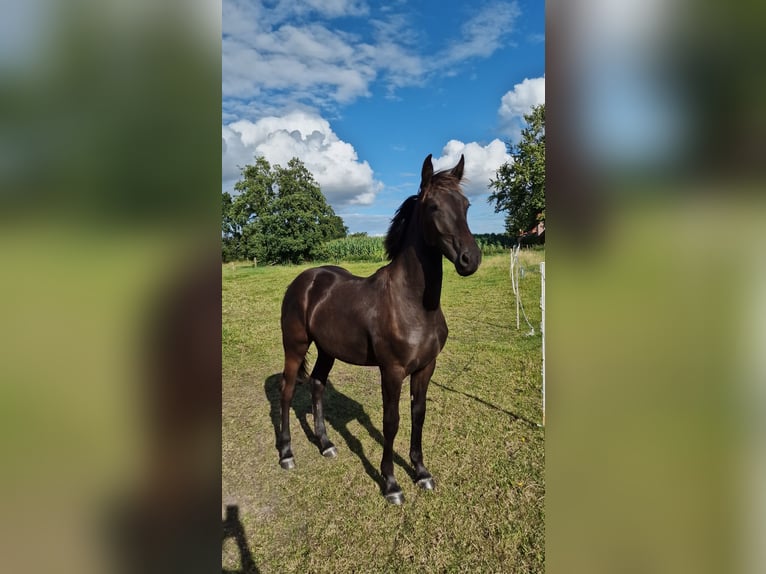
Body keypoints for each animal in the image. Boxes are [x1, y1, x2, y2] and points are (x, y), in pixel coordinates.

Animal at [278, 153, 480, 504]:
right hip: (295, 347)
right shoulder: (393, 371)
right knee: (287, 392)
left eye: (466, 204)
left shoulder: (426, 367)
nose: (471, 259)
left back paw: (326, 445)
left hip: (327, 350)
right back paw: (287, 454)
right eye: (434, 207)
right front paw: (391, 484)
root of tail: (303, 281)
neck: (412, 303)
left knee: (317, 384)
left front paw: (421, 473)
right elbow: (391, 422)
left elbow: (418, 416)